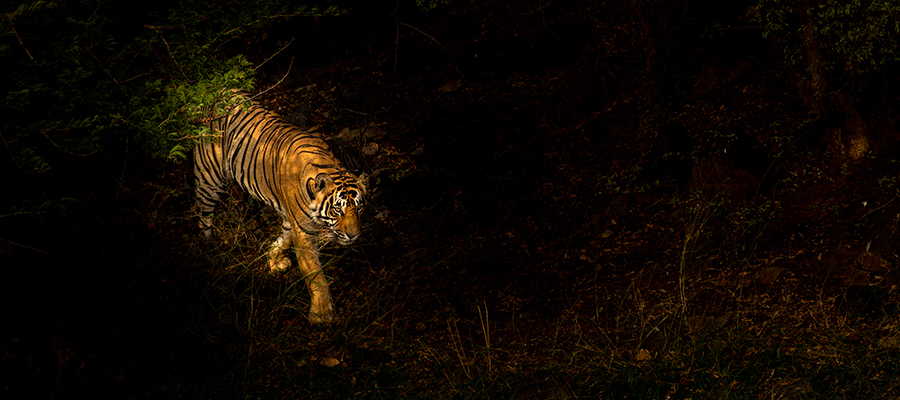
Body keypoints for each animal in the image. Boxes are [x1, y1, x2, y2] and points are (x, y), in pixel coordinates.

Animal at [192, 91, 367, 324]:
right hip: (209, 179)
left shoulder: (291, 218)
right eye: (337, 210)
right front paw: (321, 314)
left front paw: (274, 260)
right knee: (203, 217)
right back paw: (212, 252)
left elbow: (284, 237)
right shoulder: (303, 231)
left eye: (359, 208)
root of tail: (216, 92)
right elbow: (314, 273)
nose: (353, 235)